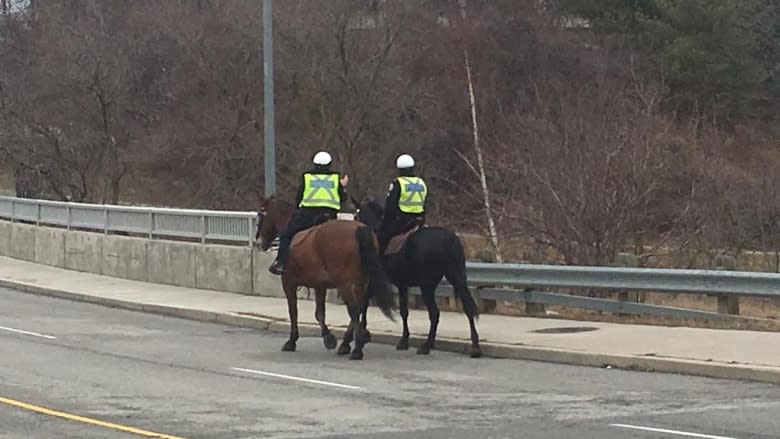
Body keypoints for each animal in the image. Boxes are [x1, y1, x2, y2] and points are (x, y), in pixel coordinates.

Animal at [256, 197, 396, 360]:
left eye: (261, 214)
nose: (258, 242)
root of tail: (359, 230)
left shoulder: (288, 283)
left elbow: (294, 311)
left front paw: (292, 340)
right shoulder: (319, 286)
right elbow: (319, 313)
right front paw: (328, 338)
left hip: (344, 283)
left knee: (353, 308)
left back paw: (356, 347)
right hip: (362, 281)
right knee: (359, 306)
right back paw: (353, 342)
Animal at [354, 198, 482, 360]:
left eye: (356, 217)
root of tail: (450, 239)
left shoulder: (381, 282)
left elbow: (369, 303)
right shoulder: (401, 284)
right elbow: (403, 311)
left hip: (427, 285)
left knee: (434, 313)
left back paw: (426, 346)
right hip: (456, 278)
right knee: (467, 308)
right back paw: (474, 346)